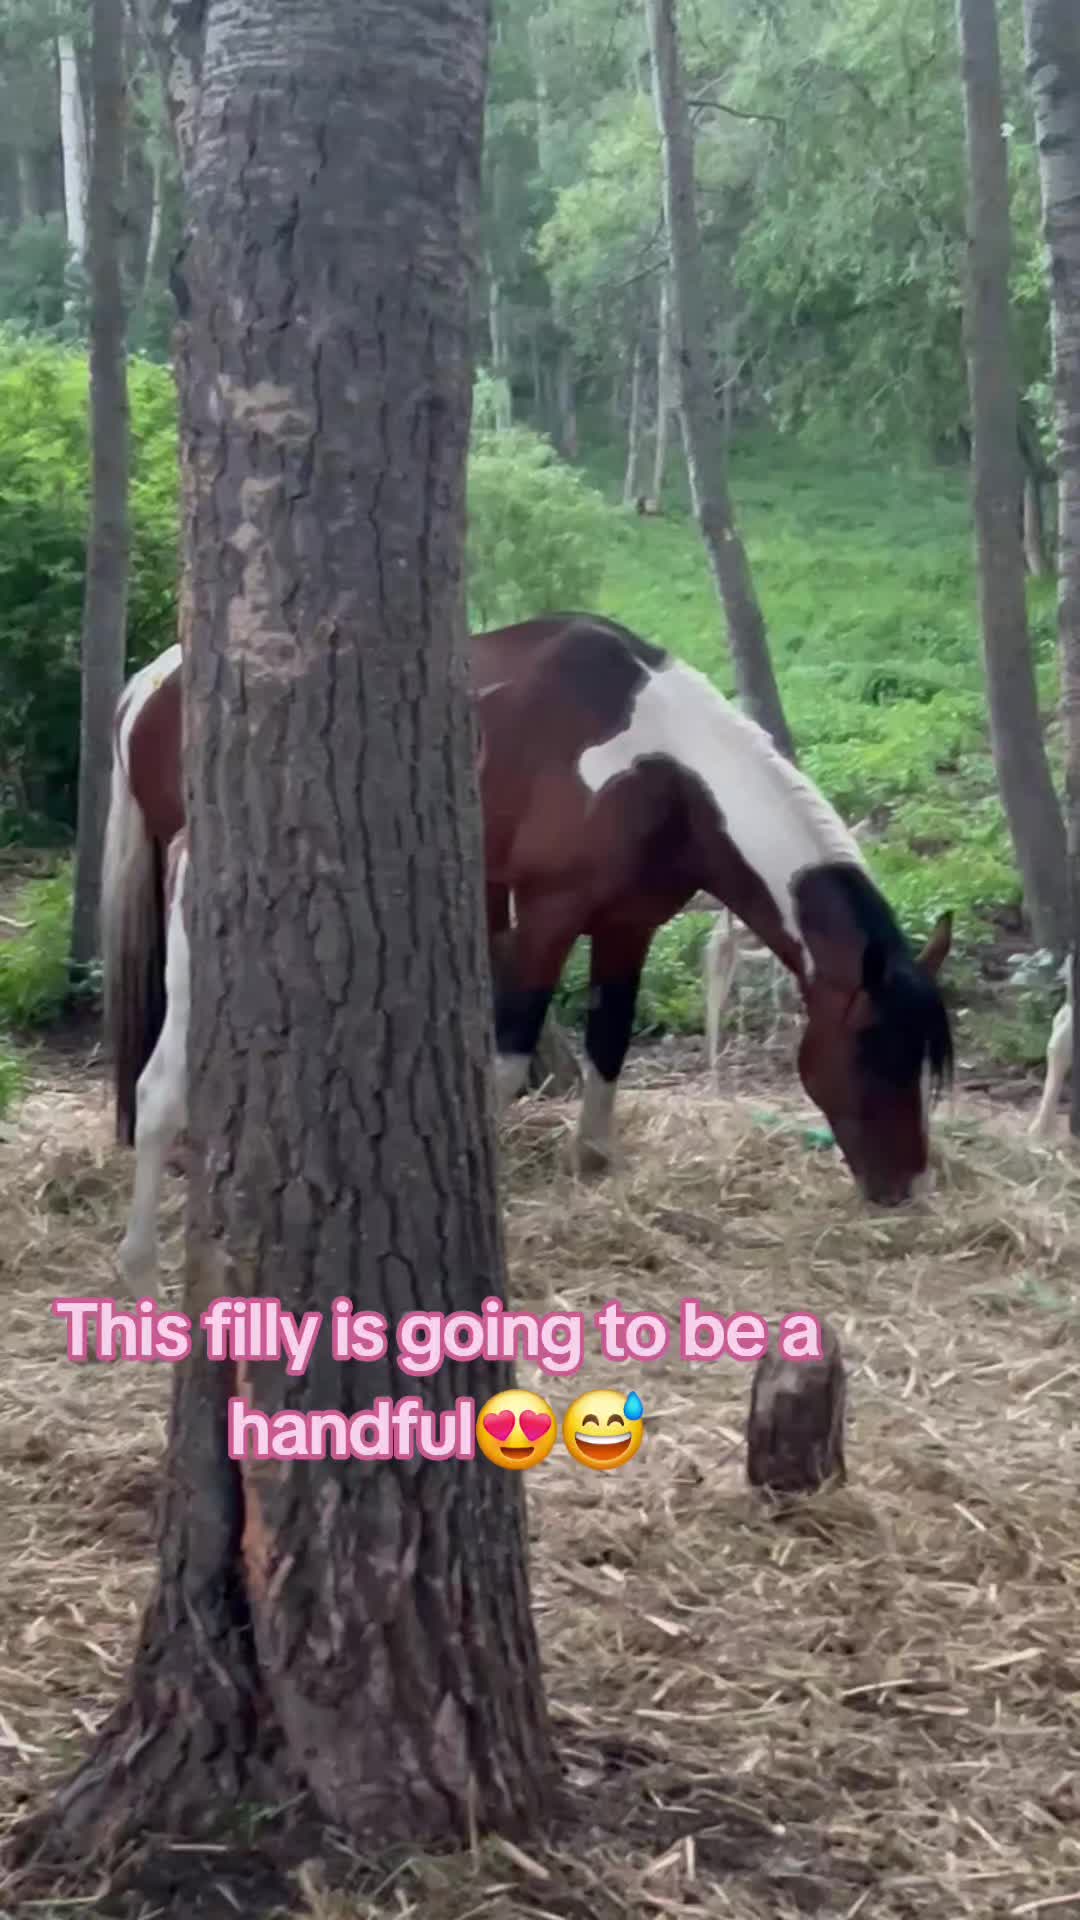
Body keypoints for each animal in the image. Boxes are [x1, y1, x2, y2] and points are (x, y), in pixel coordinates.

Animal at [104, 613, 953, 1279]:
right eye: (874, 1052)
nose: (906, 1188)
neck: (666, 771)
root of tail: (148, 682)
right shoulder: (547, 919)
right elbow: (509, 1063)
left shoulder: (627, 926)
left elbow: (609, 1045)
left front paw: (594, 1169)